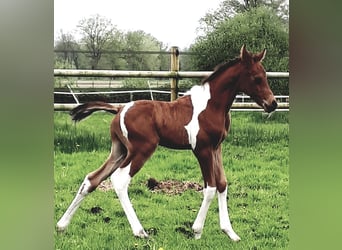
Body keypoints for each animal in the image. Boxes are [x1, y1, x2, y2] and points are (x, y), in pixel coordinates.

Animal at [55, 45, 276, 242]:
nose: (272, 103)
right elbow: (210, 188)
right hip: (141, 150)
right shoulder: (202, 149)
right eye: (256, 77)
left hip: (119, 151)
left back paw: (62, 225)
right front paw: (196, 231)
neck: (212, 105)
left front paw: (230, 233)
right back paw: (140, 232)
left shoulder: (216, 148)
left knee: (92, 179)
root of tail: (119, 108)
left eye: (265, 76)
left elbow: (222, 183)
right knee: (120, 179)